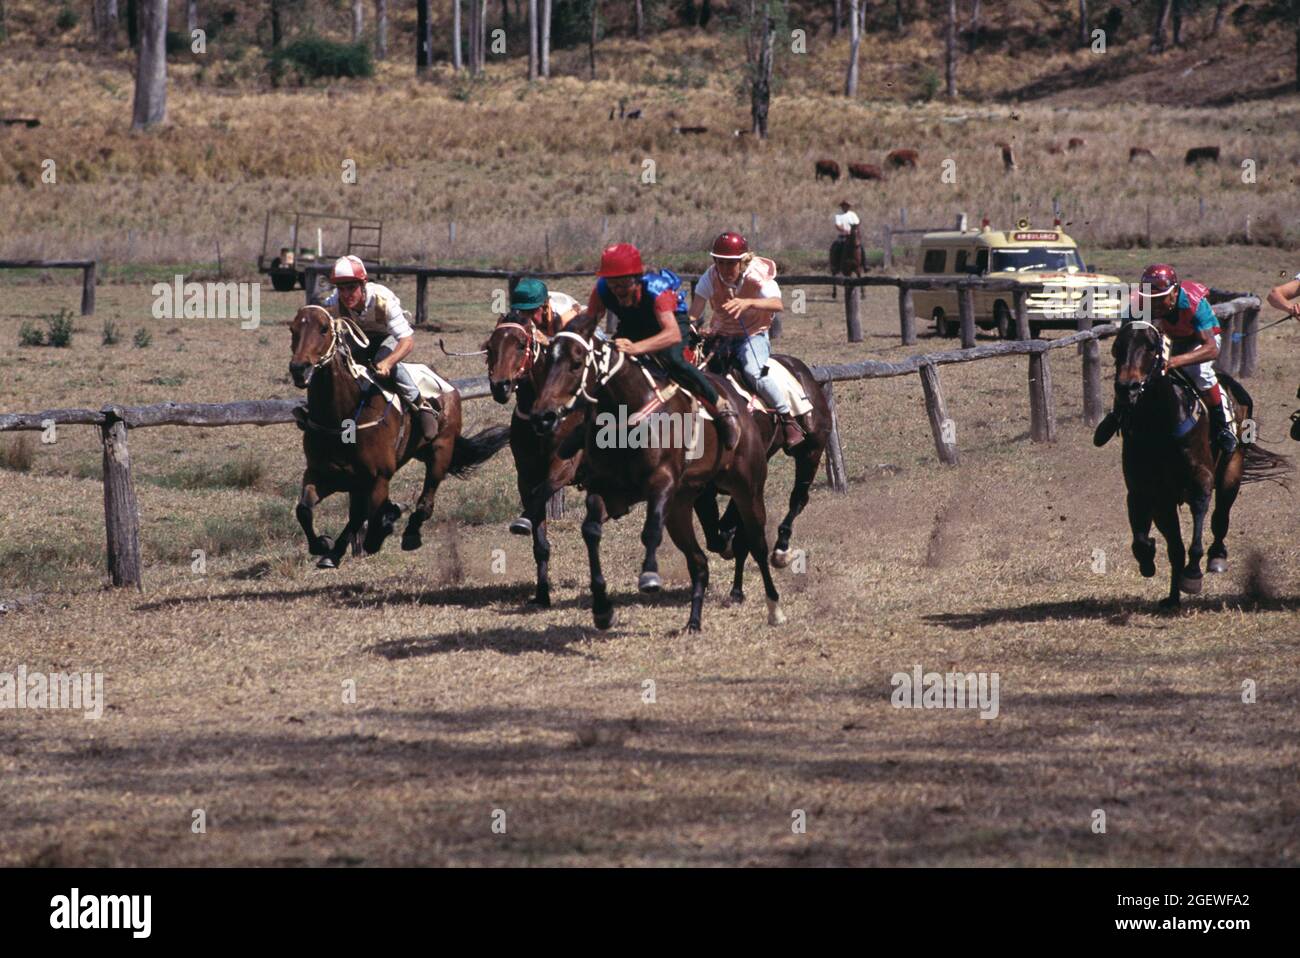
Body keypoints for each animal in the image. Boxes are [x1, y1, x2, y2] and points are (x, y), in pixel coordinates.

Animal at [288, 302, 506, 564]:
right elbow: (304, 510)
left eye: (323, 329)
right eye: (293, 329)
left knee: (425, 502)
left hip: (440, 451)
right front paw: (323, 544)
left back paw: (410, 533)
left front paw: (386, 522)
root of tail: (447, 385)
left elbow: (372, 521)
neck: (343, 417)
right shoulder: (323, 474)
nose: (299, 369)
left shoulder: (378, 477)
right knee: (356, 516)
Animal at [486, 311, 587, 605]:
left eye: (521, 345)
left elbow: (545, 489)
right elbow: (540, 539)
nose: (500, 385)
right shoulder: (526, 476)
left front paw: (521, 522)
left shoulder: (564, 466)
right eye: (490, 347)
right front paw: (542, 594)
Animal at [525, 310, 780, 631]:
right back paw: (693, 621)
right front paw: (602, 609)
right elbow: (591, 531)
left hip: (748, 488)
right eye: (547, 360)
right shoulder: (608, 491)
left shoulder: (662, 482)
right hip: (681, 507)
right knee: (699, 562)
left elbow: (650, 530)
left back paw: (774, 608)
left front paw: (648, 576)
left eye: (576, 362)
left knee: (757, 544)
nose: (542, 416)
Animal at [1107, 319, 1289, 605]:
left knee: (1220, 517)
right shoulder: (1147, 492)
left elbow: (1197, 531)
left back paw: (1217, 557)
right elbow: (1156, 543)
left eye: (1151, 347)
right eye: (1117, 346)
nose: (1128, 388)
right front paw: (1158, 574)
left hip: (1232, 471)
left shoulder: (1200, 481)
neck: (1160, 423)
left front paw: (1192, 575)